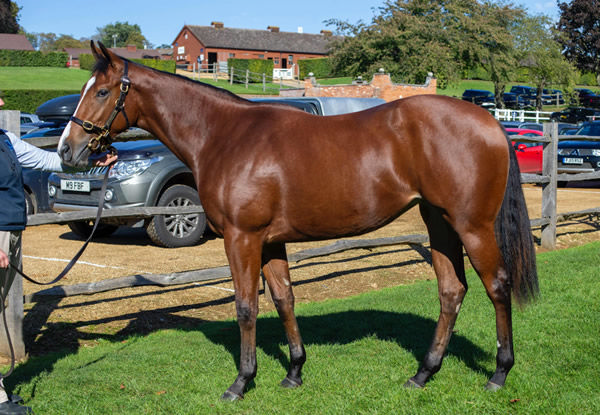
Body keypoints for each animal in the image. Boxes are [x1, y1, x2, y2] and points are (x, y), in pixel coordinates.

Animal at [58, 41, 540, 400]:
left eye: (101, 92)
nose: (67, 149)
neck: (224, 136)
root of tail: (491, 121)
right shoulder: (270, 241)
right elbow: (284, 299)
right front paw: (293, 371)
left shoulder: (242, 238)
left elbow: (246, 306)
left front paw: (241, 382)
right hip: (438, 223)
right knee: (451, 291)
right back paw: (423, 373)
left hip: (472, 226)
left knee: (497, 286)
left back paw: (499, 374)